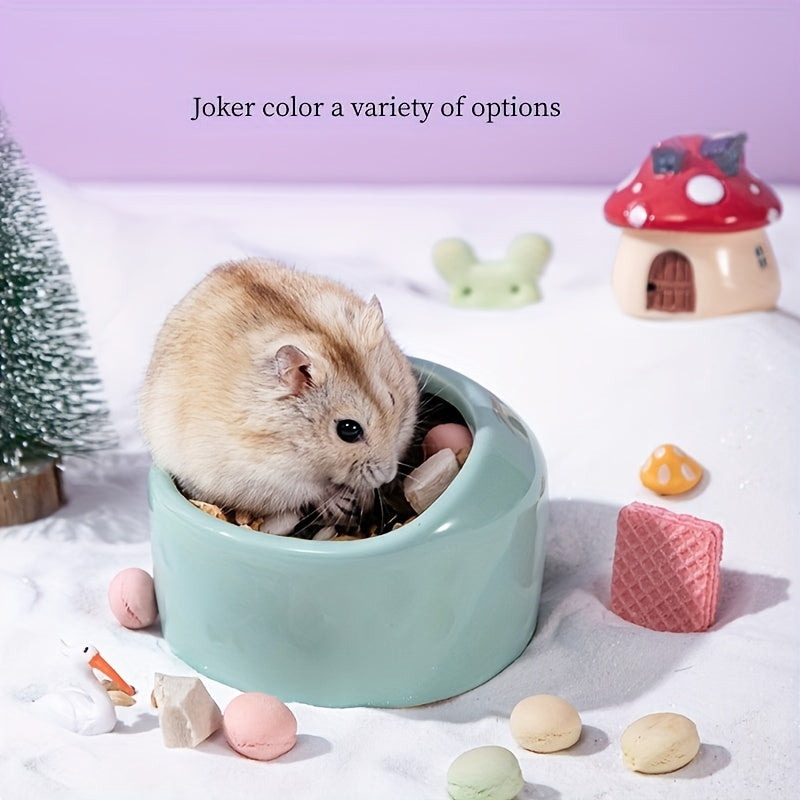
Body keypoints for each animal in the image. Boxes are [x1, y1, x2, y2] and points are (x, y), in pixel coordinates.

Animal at [140, 258, 419, 531]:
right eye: (348, 430)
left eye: (392, 400)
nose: (388, 475)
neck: (297, 442)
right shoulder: (268, 477)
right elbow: (314, 491)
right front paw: (341, 502)